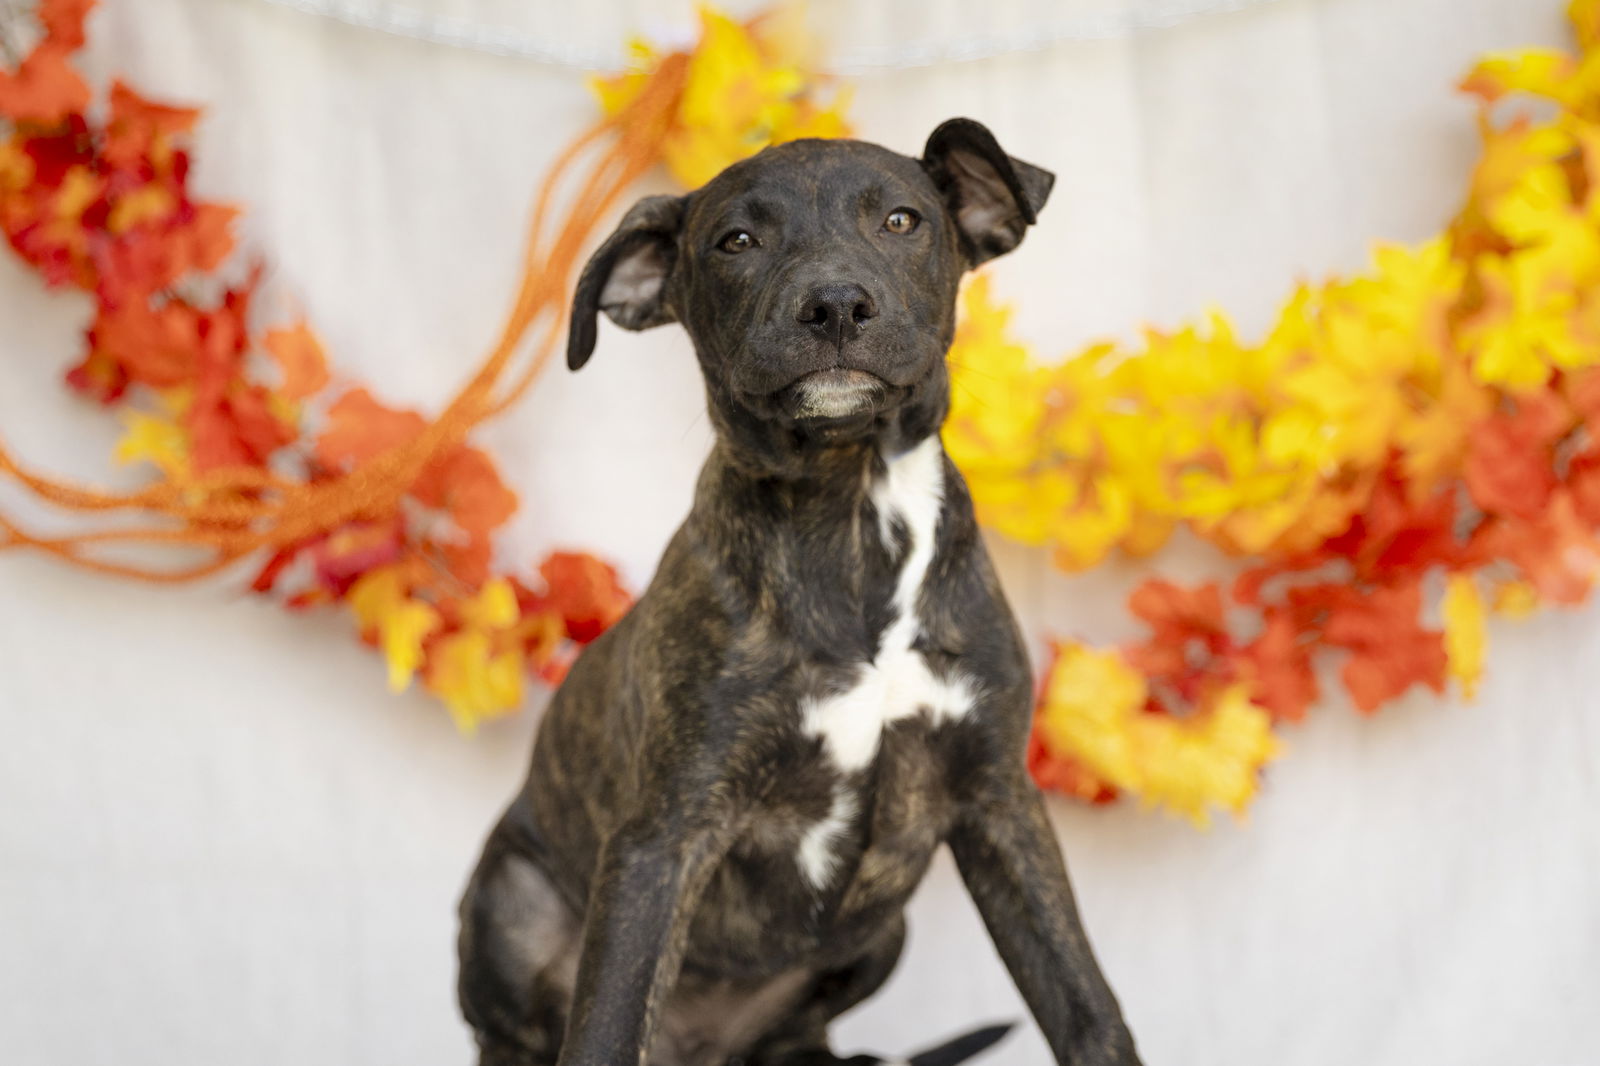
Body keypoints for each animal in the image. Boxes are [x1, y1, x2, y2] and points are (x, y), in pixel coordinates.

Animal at [457, 116, 1145, 1062]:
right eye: (735, 242)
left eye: (901, 221)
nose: (835, 307)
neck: (851, 513)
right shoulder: (660, 838)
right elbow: (606, 1025)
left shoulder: (1001, 803)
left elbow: (1085, 1002)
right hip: (508, 901)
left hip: (880, 936)